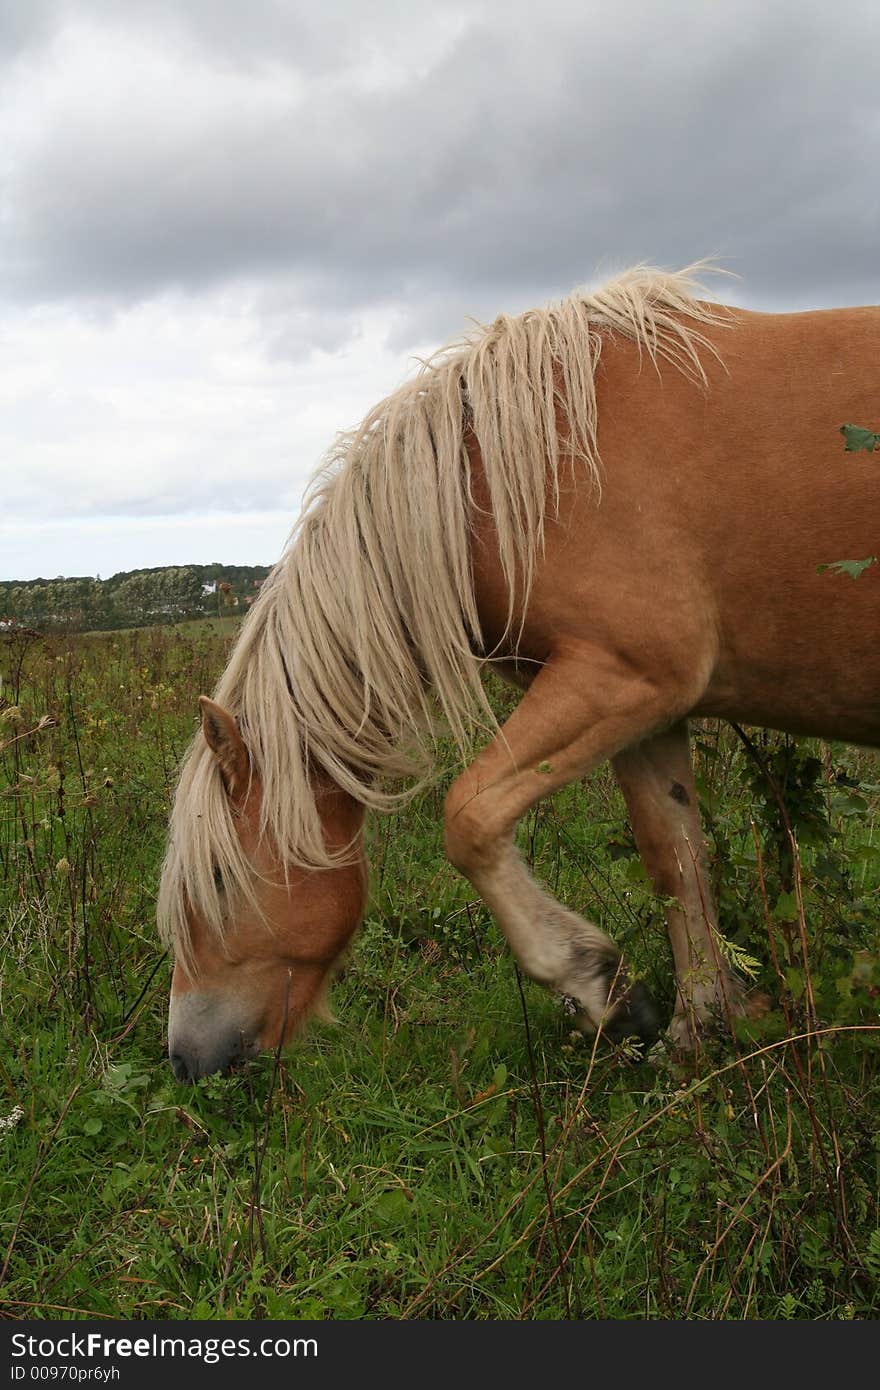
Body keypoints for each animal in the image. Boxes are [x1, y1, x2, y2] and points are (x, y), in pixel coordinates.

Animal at [157, 262, 878, 1084]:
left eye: (218, 882)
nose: (185, 1059)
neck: (526, 473)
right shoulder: (648, 715)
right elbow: (676, 860)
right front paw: (700, 1026)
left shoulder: (621, 679)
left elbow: (469, 817)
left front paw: (601, 987)